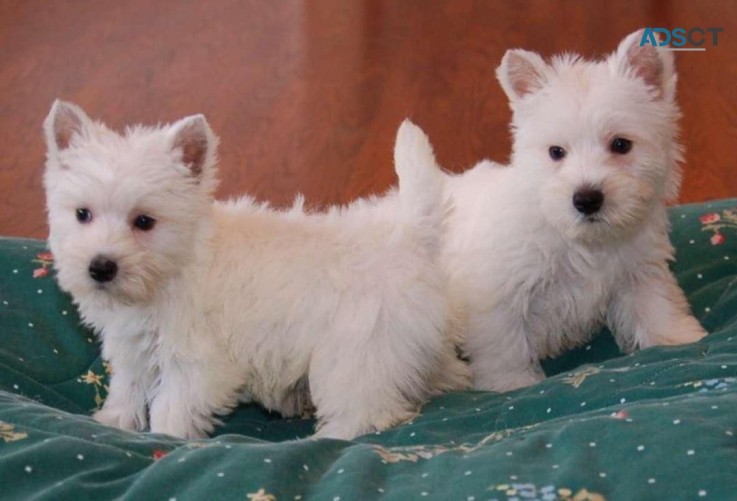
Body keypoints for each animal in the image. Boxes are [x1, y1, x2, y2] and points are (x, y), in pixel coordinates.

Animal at [41, 101, 466, 438]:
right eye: (82, 214)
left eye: (144, 221)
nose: (101, 267)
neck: (176, 268)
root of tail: (410, 235)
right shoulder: (134, 346)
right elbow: (128, 385)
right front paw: (114, 422)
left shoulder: (196, 361)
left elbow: (170, 404)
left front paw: (166, 439)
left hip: (357, 353)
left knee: (361, 410)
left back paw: (329, 438)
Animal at [414, 30, 708, 390]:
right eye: (556, 152)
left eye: (621, 144)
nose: (586, 199)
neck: (578, 240)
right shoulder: (498, 298)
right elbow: (504, 349)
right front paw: (511, 386)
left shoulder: (639, 271)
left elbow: (657, 307)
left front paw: (681, 339)